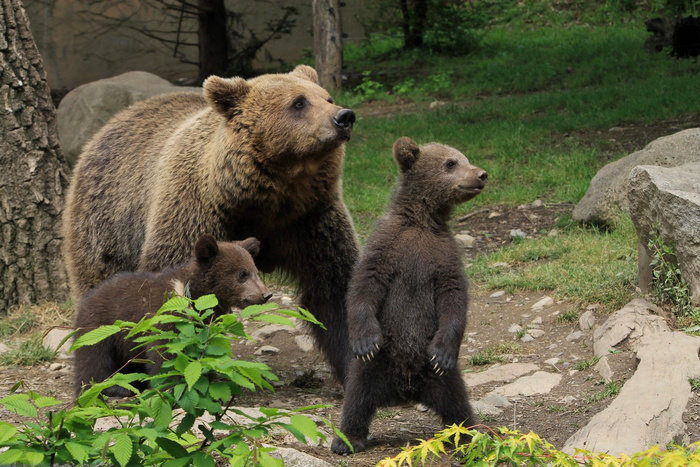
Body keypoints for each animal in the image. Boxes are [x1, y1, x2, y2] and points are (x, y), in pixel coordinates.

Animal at [63, 66, 358, 384]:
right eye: (299, 102)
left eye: (327, 97)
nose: (344, 116)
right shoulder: (196, 212)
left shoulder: (310, 219)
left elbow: (336, 287)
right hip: (108, 220)